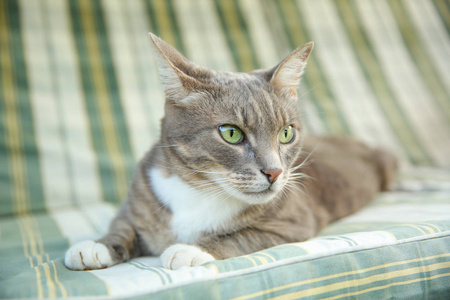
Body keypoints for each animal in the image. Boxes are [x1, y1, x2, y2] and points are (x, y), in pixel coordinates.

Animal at [64, 34, 398, 270]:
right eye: (231, 133)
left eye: (286, 133)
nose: (274, 172)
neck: (200, 190)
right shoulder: (141, 194)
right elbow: (123, 225)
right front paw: (96, 246)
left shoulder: (294, 221)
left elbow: (241, 236)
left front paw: (192, 249)